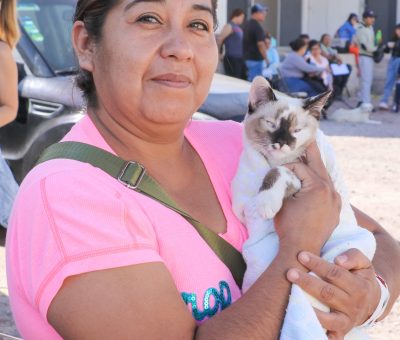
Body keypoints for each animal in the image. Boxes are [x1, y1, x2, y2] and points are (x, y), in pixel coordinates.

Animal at [233, 77, 376, 340]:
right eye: (271, 124)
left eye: (297, 131)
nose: (281, 143)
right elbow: (272, 172)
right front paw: (265, 203)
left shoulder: (302, 174)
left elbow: (277, 171)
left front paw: (266, 203)